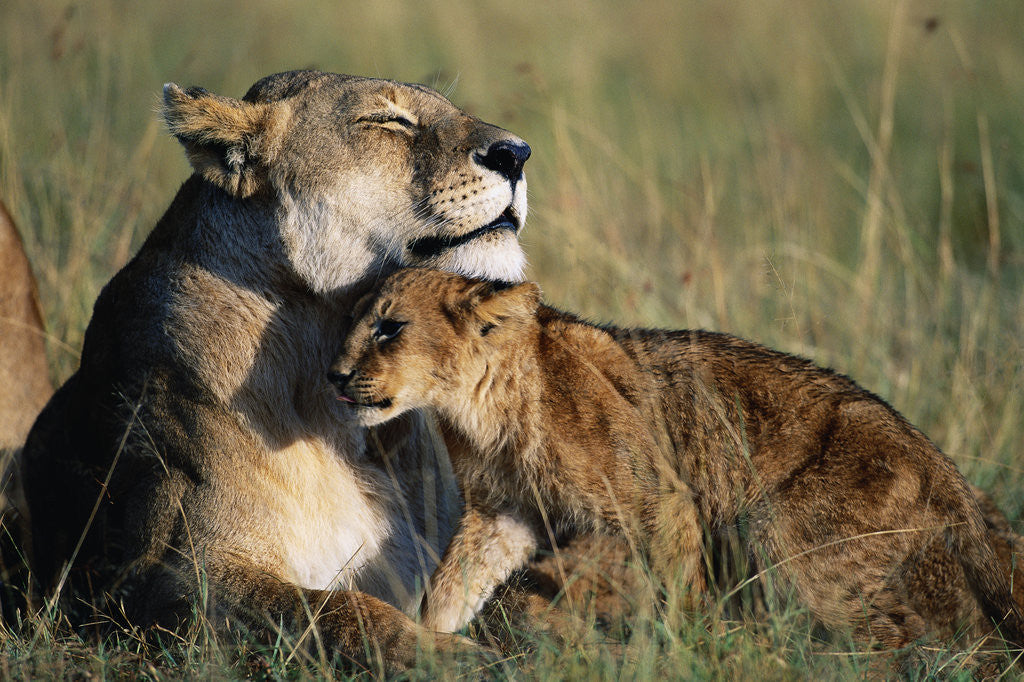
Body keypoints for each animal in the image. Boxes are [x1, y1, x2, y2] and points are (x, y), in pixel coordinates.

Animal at [327, 267, 1024, 655]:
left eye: (389, 328)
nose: (333, 376)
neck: (479, 407)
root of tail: (938, 461)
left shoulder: (662, 501)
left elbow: (678, 593)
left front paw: (687, 647)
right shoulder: (504, 513)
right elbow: (454, 587)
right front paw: (433, 642)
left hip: (787, 538)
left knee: (909, 636)